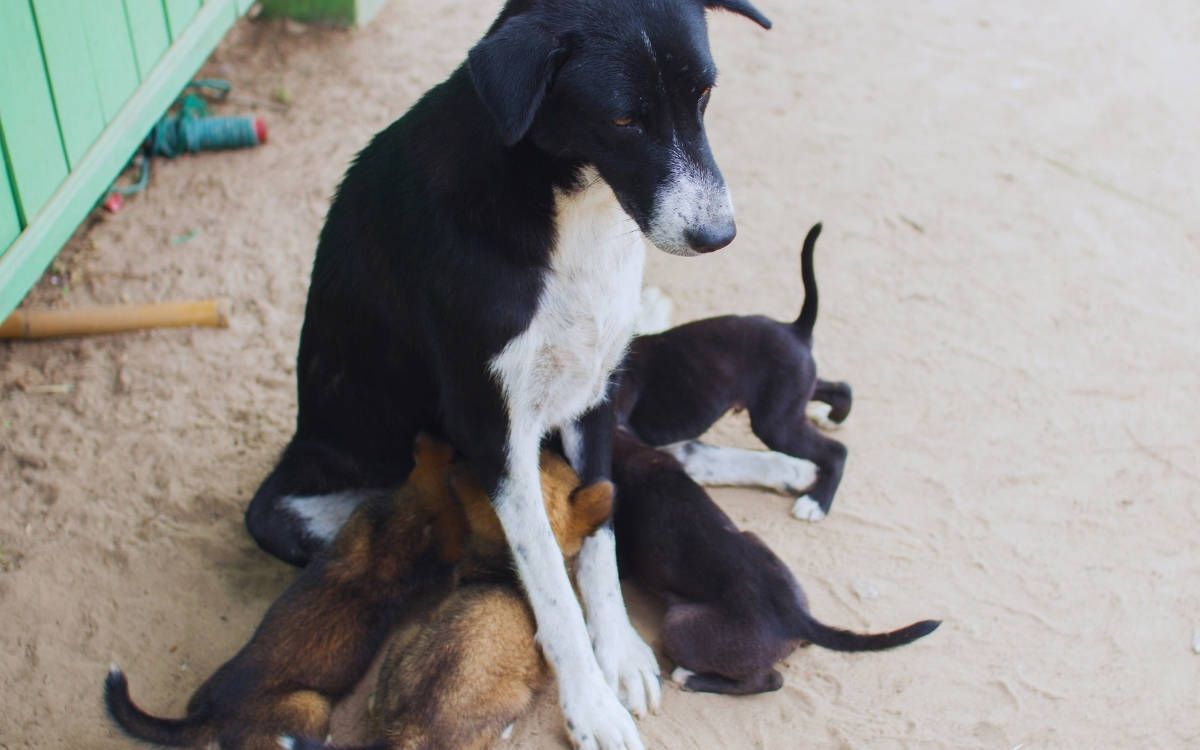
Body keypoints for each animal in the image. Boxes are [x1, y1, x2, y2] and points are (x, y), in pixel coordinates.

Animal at [609, 427, 936, 696]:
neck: (627, 449)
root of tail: (798, 617)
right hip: (758, 544)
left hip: (680, 626)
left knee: (769, 681)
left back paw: (689, 677)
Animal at [619, 222, 854, 520]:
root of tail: (796, 328)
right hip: (793, 393)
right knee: (839, 389)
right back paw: (831, 419)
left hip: (776, 422)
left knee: (836, 451)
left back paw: (816, 502)